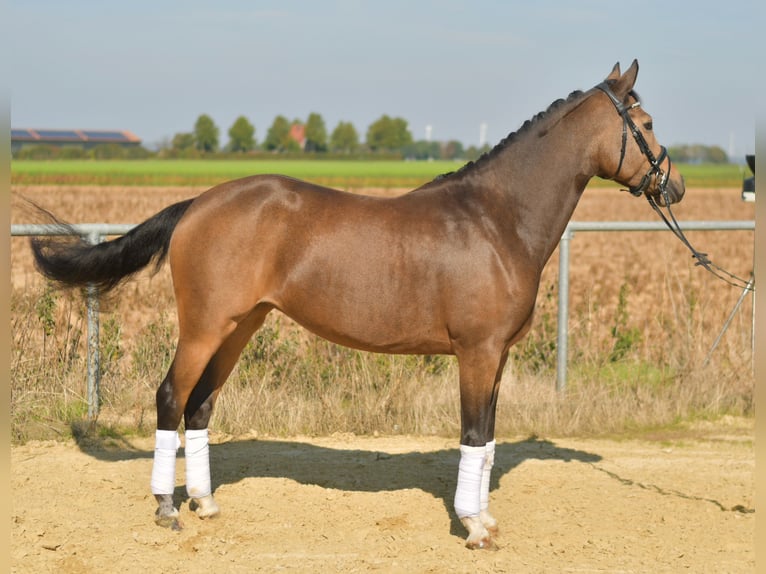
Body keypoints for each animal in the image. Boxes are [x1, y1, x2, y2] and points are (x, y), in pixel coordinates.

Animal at [29, 60, 685, 550]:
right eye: (648, 123)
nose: (673, 186)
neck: (495, 220)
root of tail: (198, 204)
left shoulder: (497, 356)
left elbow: (490, 439)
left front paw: (485, 517)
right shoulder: (477, 352)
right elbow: (473, 435)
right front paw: (473, 528)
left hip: (240, 327)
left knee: (202, 405)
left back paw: (206, 503)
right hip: (204, 327)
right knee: (171, 397)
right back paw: (167, 508)